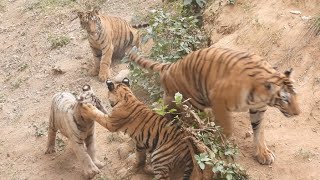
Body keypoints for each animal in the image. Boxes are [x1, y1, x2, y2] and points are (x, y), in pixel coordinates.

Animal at [127, 46, 300, 165]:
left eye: (297, 95)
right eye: (285, 99)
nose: (298, 113)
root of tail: (170, 65)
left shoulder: (258, 109)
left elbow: (259, 132)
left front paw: (263, 154)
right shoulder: (219, 100)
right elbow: (227, 129)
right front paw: (222, 147)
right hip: (185, 102)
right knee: (168, 115)